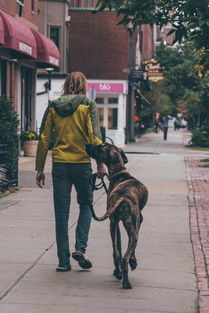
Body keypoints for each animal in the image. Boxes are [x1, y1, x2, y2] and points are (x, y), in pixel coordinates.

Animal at [85, 142, 148, 288]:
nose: (87, 144)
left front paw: (116, 271)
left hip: (113, 224)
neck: (120, 174)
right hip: (133, 230)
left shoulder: (115, 223)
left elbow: (118, 246)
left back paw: (120, 274)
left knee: (116, 252)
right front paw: (133, 261)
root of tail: (122, 197)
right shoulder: (139, 221)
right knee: (125, 256)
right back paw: (127, 280)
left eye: (100, 147)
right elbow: (131, 251)